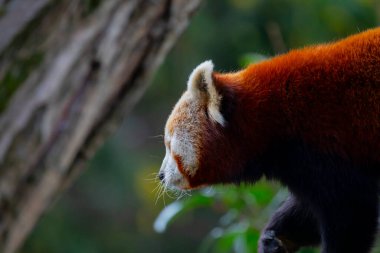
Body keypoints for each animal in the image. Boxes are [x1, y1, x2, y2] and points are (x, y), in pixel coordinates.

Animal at [159, 28, 380, 253]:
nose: (161, 175)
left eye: (170, 145)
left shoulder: (327, 146)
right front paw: (275, 238)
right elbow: (308, 212)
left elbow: (350, 215)